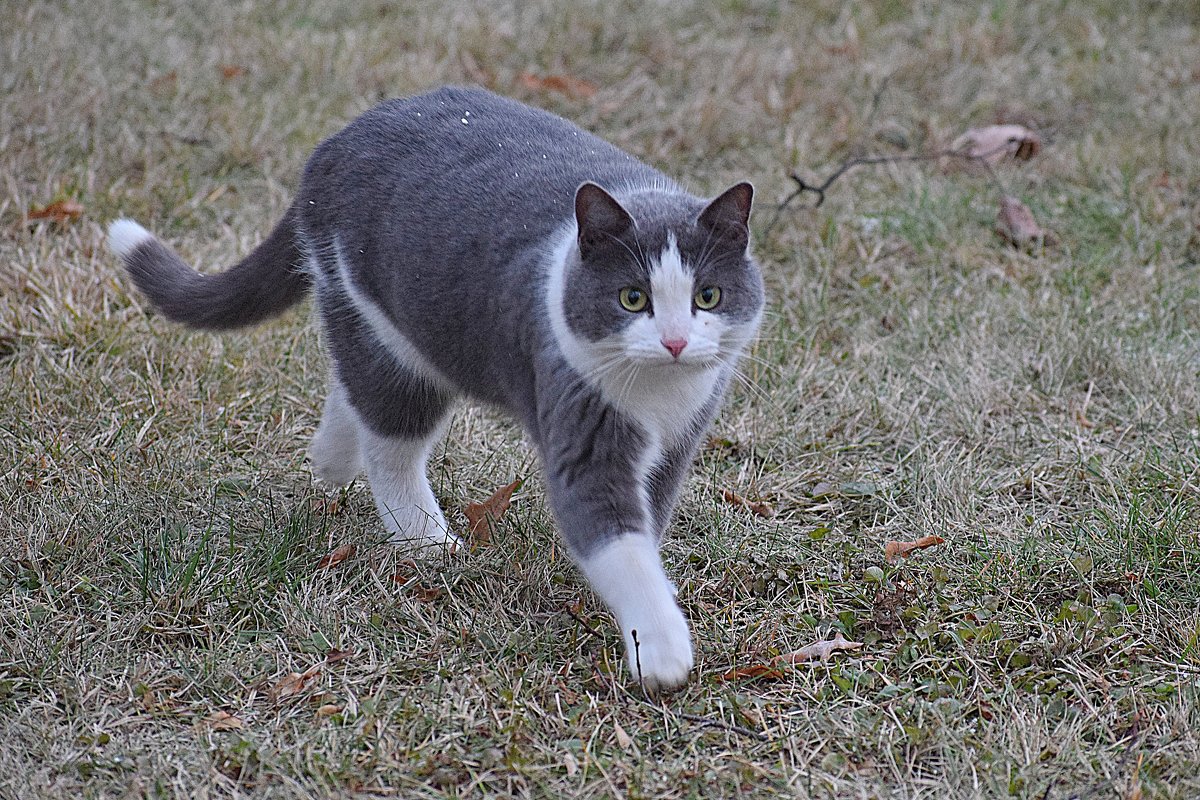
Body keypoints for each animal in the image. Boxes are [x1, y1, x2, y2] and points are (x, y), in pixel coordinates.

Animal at [112, 84, 768, 690]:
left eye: (708, 296)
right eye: (632, 298)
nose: (676, 341)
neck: (657, 396)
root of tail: (331, 146)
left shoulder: (682, 434)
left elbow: (650, 517)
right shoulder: (581, 419)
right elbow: (616, 538)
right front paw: (661, 651)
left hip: (381, 320)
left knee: (354, 380)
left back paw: (330, 456)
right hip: (383, 324)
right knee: (389, 440)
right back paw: (428, 543)